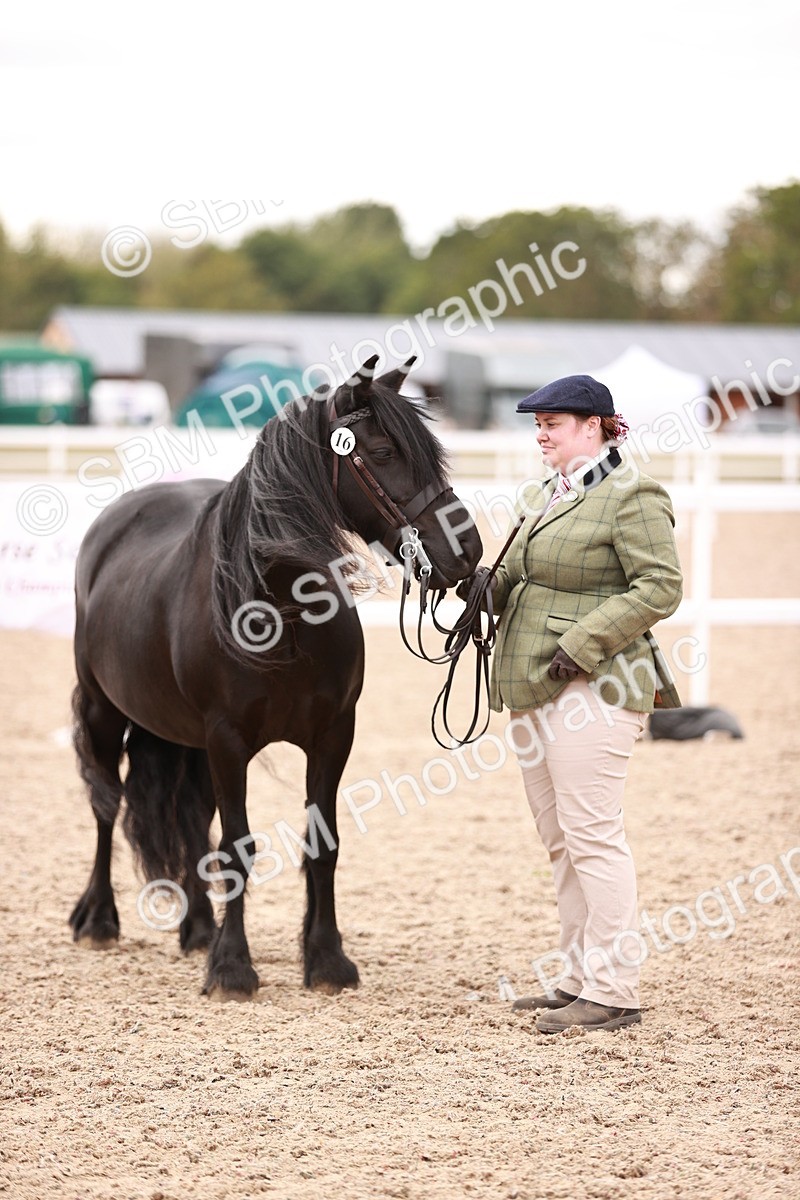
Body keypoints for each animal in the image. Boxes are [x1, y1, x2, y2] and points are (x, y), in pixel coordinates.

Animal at [69, 355, 483, 997]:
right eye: (383, 451)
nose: (467, 550)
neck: (282, 612)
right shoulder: (227, 740)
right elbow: (237, 848)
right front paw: (233, 968)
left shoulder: (333, 735)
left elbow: (322, 843)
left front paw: (326, 958)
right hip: (104, 713)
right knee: (106, 805)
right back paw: (99, 920)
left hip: (186, 741)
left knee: (190, 821)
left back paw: (197, 929)